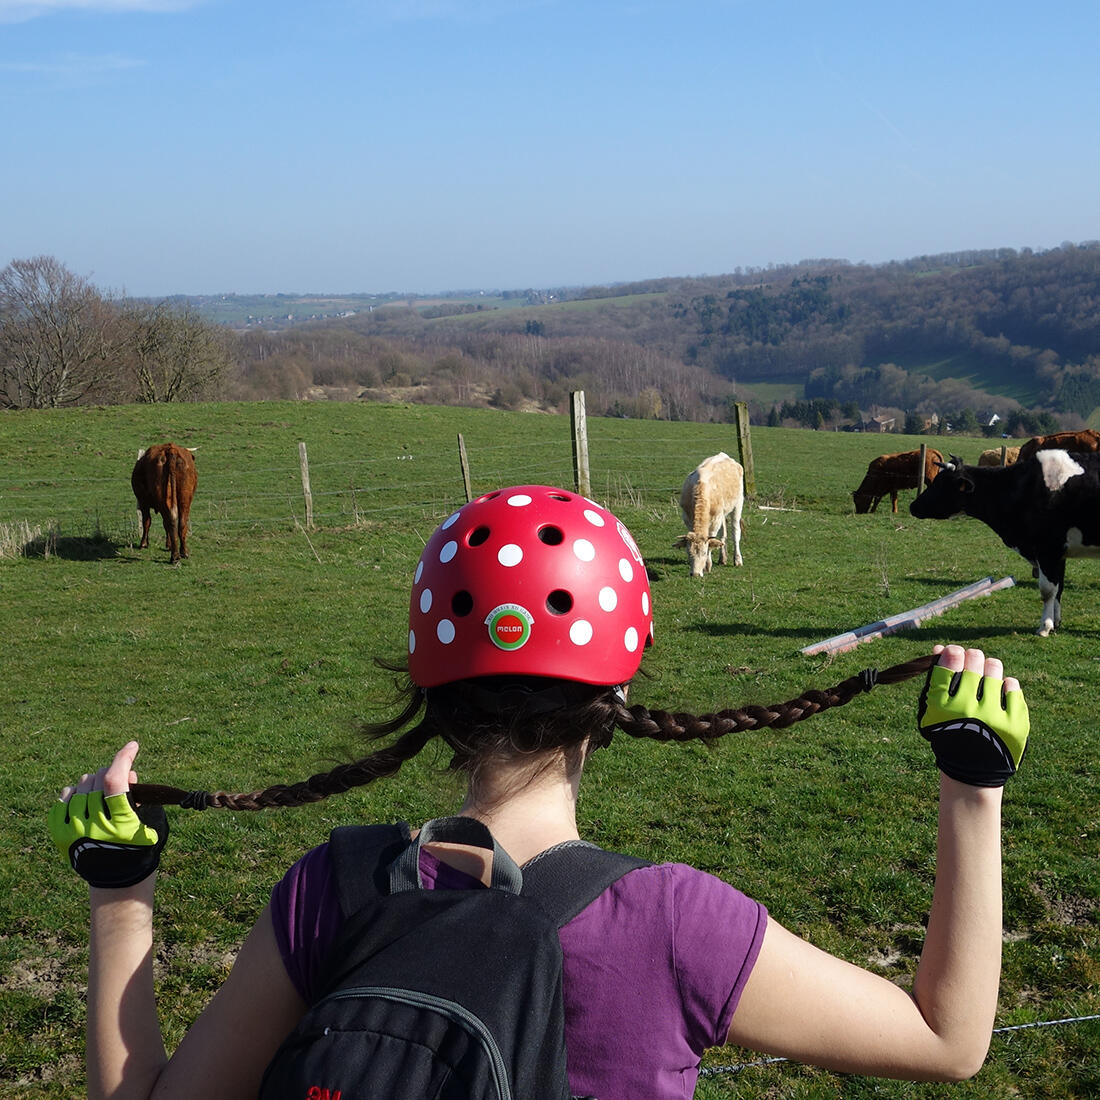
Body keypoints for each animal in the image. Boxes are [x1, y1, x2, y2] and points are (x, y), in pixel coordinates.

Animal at [906, 448, 1100, 638]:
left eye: (941, 484)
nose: (913, 506)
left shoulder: (1048, 549)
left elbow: (1047, 591)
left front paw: (1044, 627)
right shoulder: (1059, 554)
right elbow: (1059, 589)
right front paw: (1056, 622)